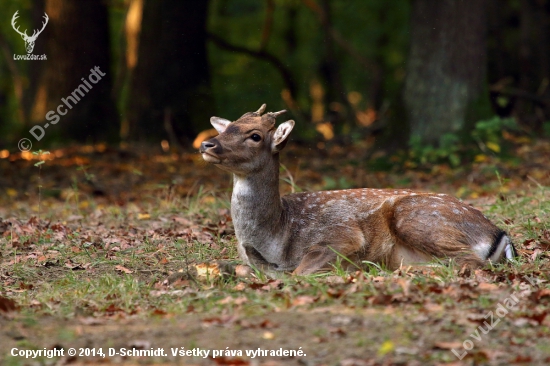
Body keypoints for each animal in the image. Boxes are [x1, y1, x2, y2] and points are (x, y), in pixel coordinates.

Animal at [202, 103, 516, 274]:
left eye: (254, 135)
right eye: (227, 128)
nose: (207, 144)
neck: (278, 237)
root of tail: (499, 235)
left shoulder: (341, 235)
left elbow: (298, 272)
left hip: (418, 218)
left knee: (468, 261)